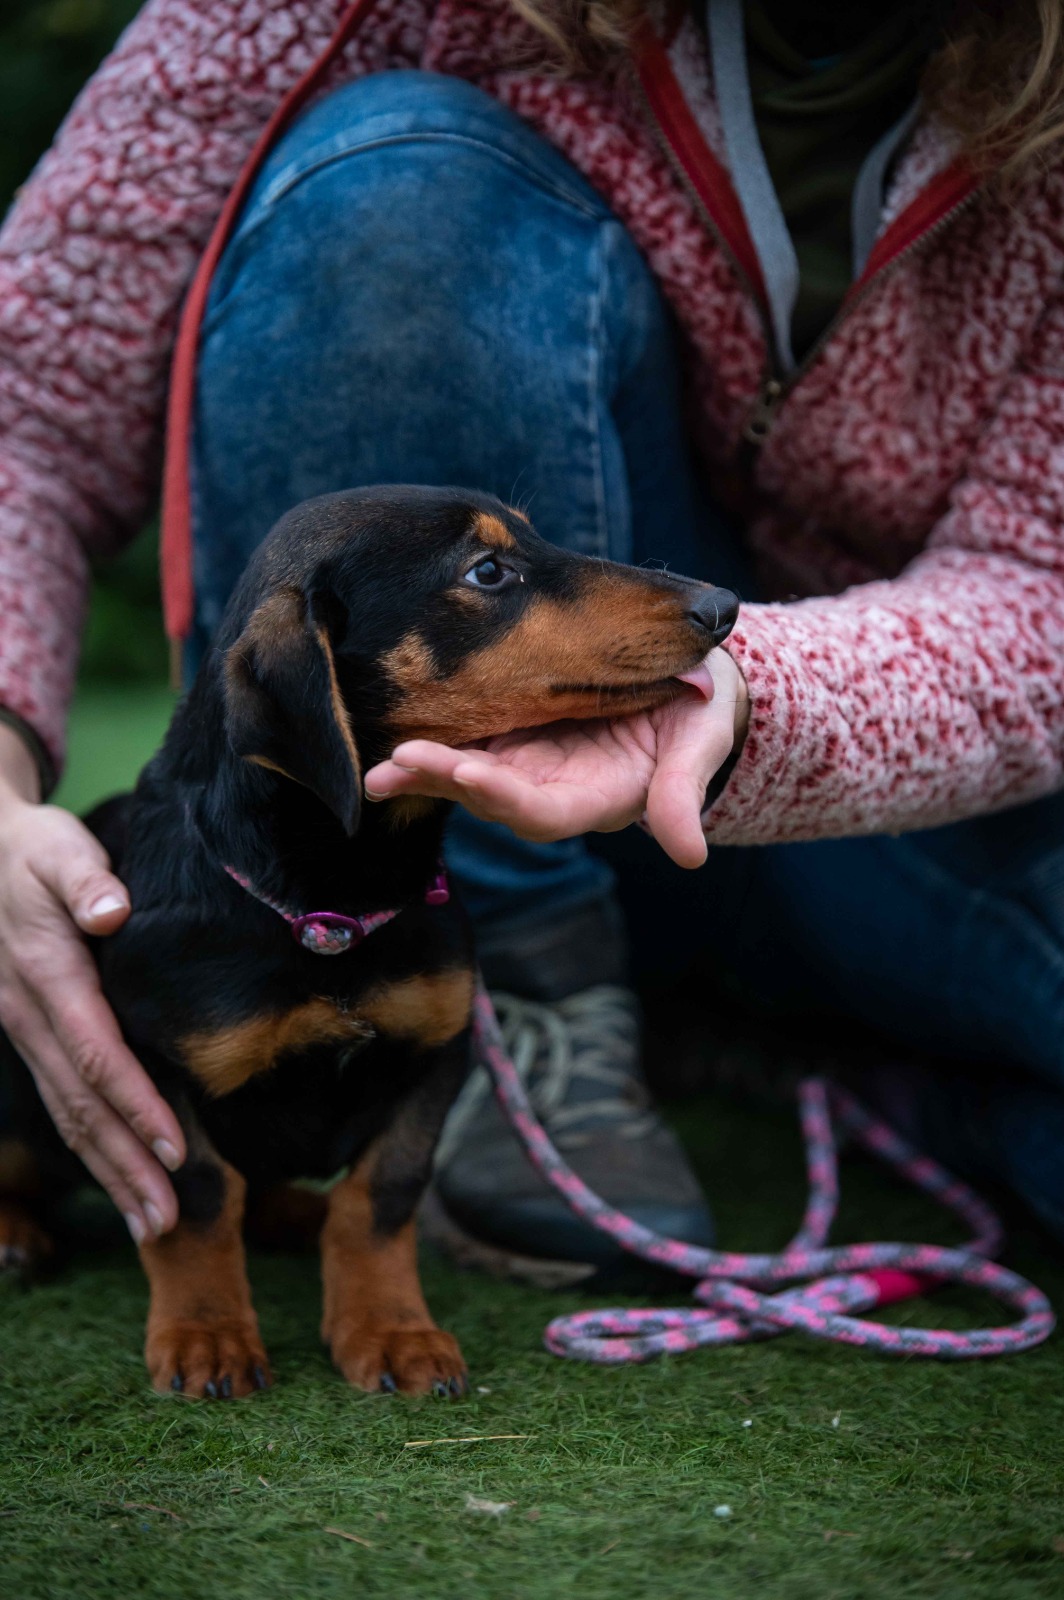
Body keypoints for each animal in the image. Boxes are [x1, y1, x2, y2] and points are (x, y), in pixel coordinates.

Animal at [0, 486, 738, 1399]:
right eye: (487, 572)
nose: (724, 606)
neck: (336, 903)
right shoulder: (142, 1072)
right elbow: (199, 1197)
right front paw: (207, 1334)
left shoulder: (435, 1054)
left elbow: (381, 1198)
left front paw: (390, 1331)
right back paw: (16, 1236)